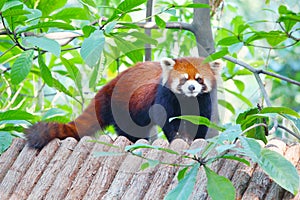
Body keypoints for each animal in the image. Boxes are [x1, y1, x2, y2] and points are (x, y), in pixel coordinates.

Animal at [25, 56, 221, 148]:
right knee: (128, 129)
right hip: (122, 108)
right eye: (183, 79)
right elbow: (165, 118)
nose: (192, 88)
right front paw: (177, 137)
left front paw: (196, 138)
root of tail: (108, 86)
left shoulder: (203, 101)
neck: (187, 100)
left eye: (199, 79)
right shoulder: (164, 95)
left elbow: (201, 121)